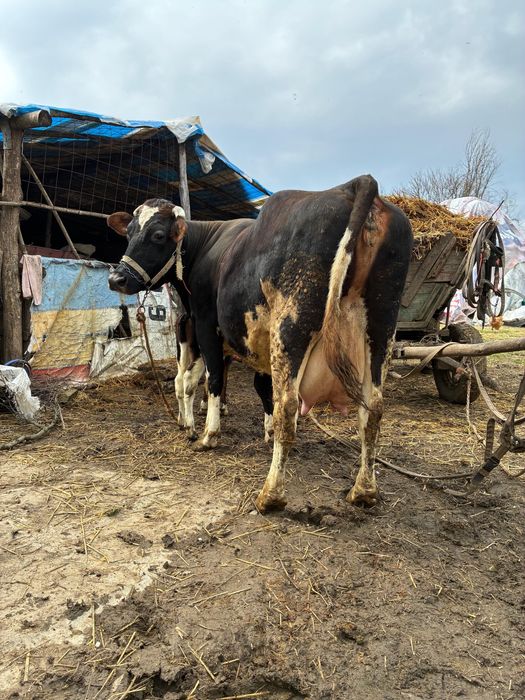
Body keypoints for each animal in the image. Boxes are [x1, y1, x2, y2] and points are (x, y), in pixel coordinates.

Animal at [107, 175, 412, 512]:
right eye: (129, 232)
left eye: (158, 235)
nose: (117, 279)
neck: (204, 247)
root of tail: (355, 184)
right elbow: (258, 386)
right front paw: (263, 431)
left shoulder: (204, 324)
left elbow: (210, 380)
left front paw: (206, 434)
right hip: (381, 325)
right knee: (372, 408)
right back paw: (363, 491)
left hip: (292, 323)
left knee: (288, 405)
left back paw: (271, 494)